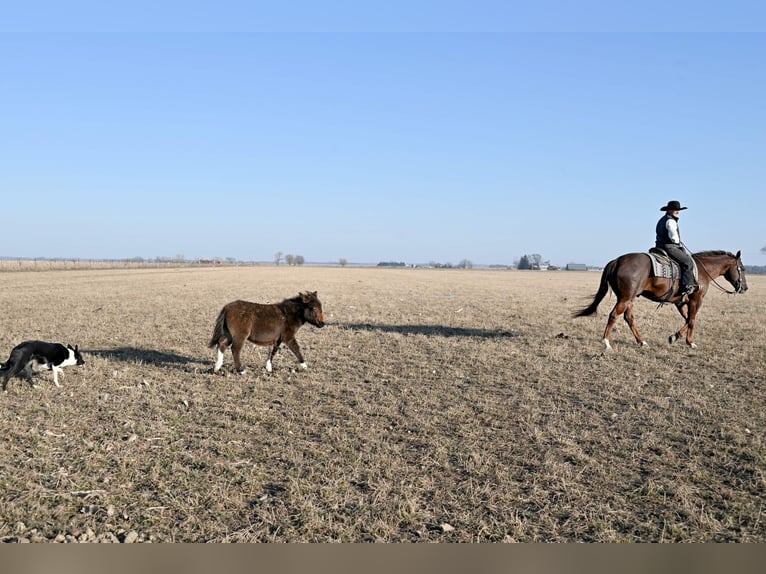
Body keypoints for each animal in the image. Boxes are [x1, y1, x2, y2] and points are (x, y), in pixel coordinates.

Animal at [576, 252, 752, 352]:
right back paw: (606, 342)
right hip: (625, 298)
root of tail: (617, 260)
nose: (744, 287)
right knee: (614, 315)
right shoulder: (696, 300)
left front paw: (674, 337)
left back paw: (641, 341)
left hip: (628, 299)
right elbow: (692, 320)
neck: (702, 271)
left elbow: (687, 319)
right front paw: (690, 342)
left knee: (629, 318)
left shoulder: (680, 302)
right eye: (742, 268)